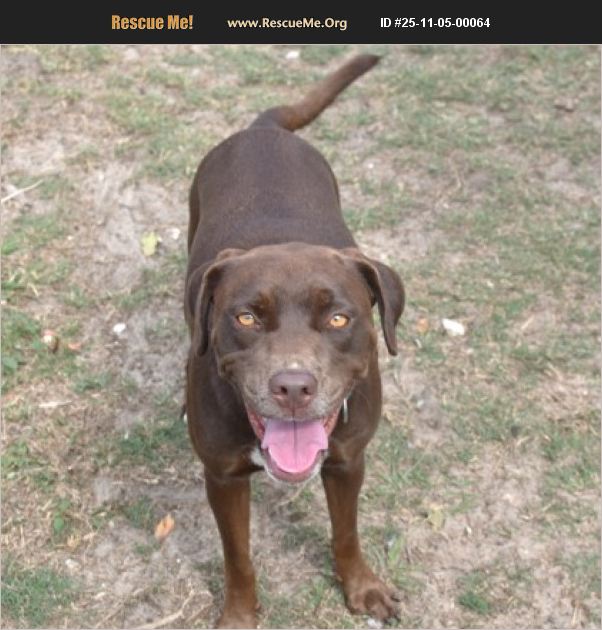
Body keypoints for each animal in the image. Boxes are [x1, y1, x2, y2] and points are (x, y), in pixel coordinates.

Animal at [184, 54, 404, 628]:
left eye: (338, 318)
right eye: (244, 317)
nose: (293, 387)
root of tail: (263, 130)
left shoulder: (349, 460)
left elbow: (346, 530)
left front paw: (361, 586)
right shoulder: (223, 477)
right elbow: (237, 555)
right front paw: (240, 614)